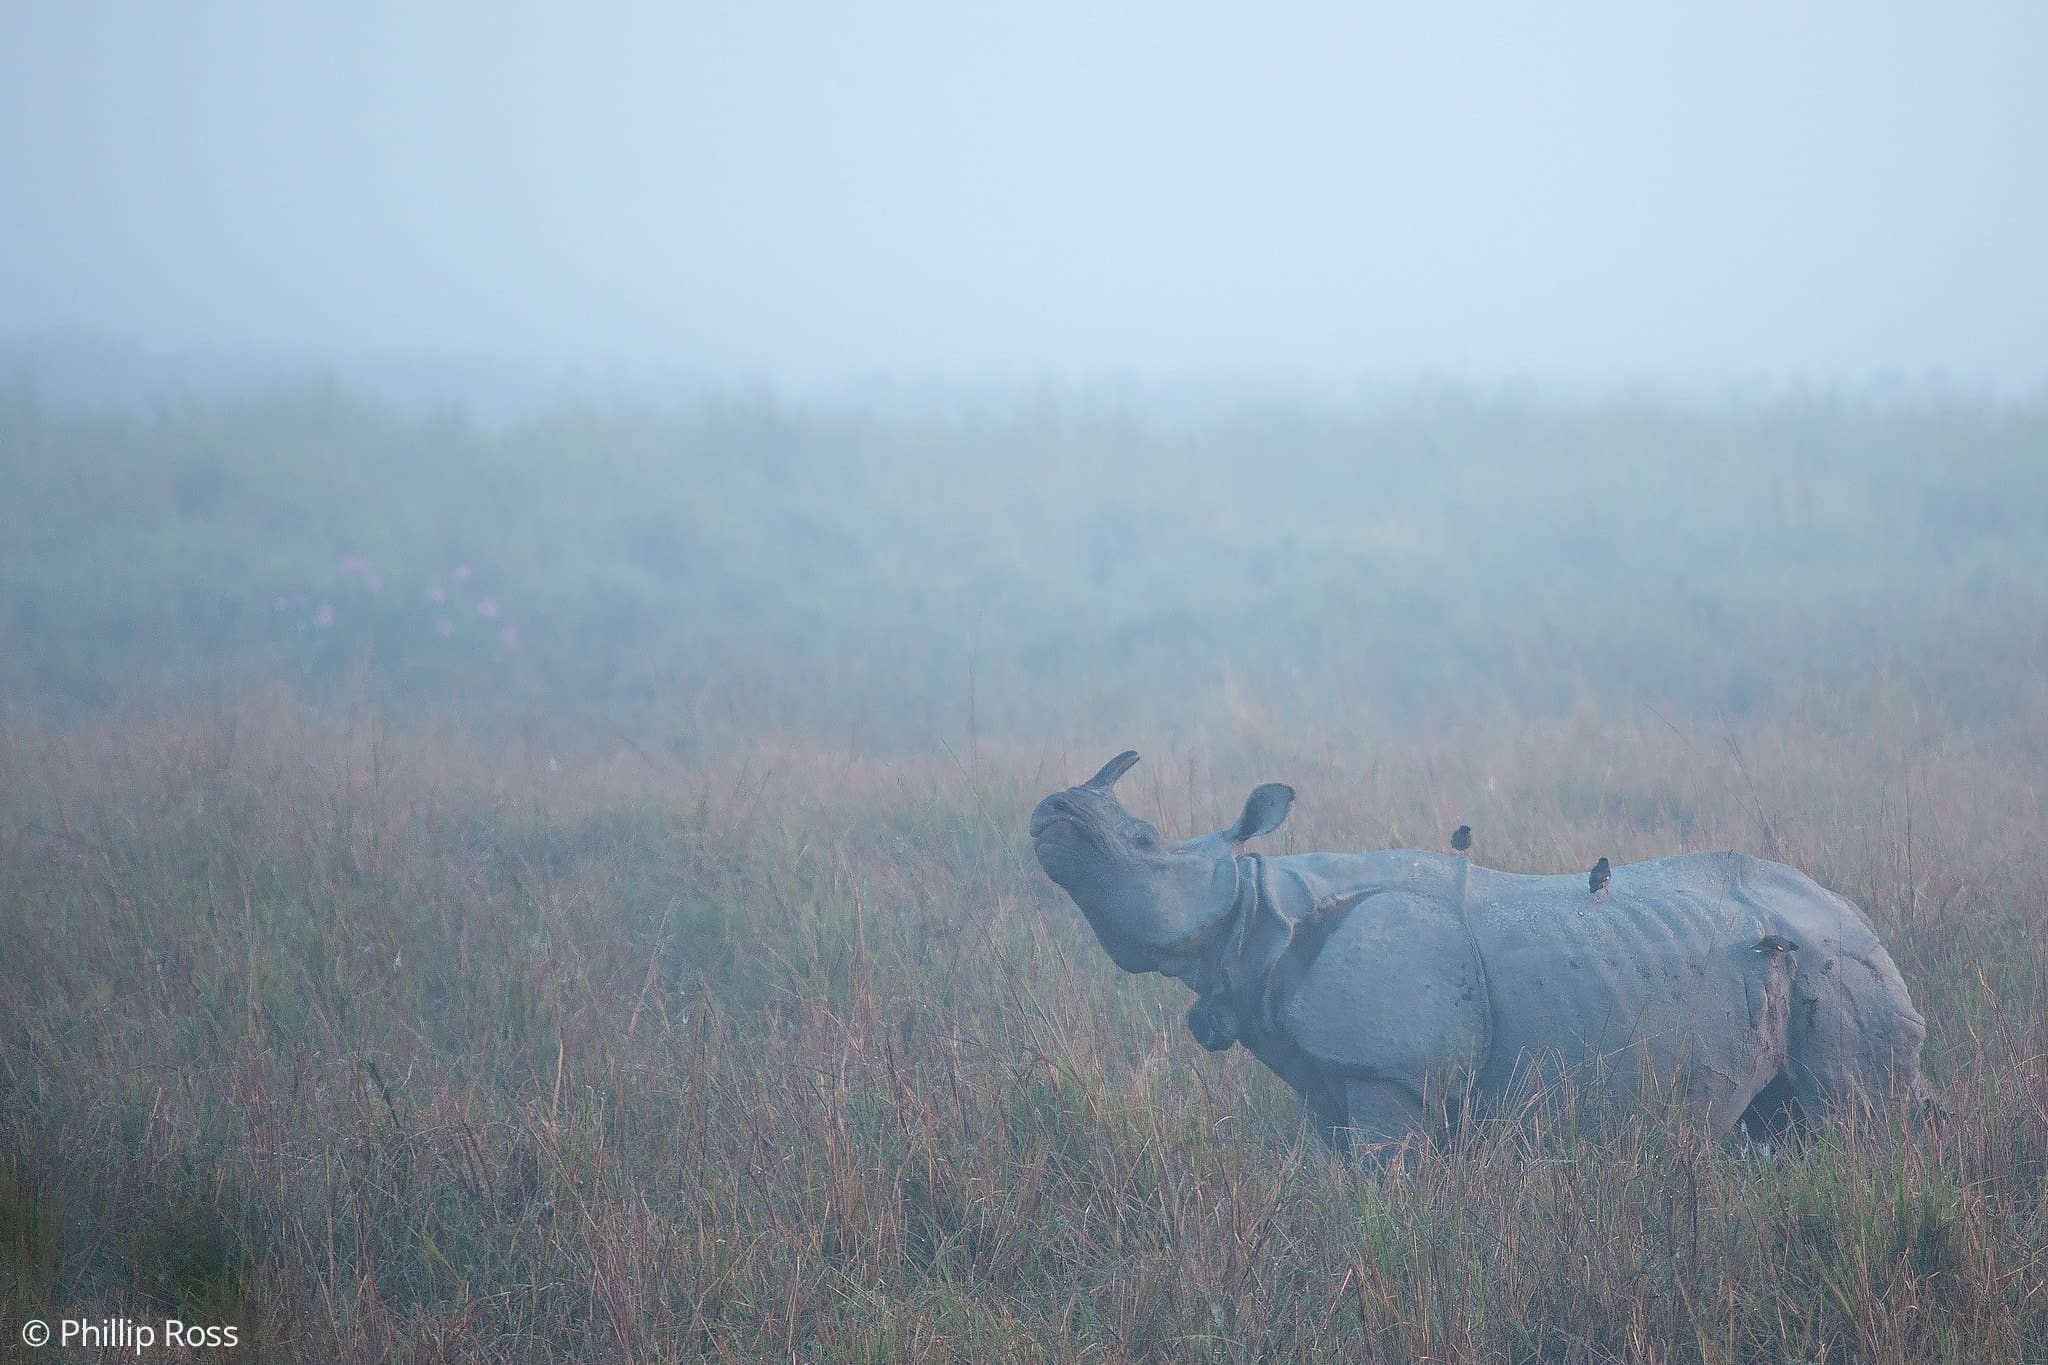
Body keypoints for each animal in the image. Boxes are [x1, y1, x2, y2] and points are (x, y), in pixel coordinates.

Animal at [1030, 751, 1929, 1152]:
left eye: (1142, 839)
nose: (1049, 812)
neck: (1259, 907)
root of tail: (1865, 925)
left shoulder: (1387, 1072)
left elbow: (1381, 1181)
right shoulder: (1324, 1075)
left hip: (1842, 968)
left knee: (1849, 1118)